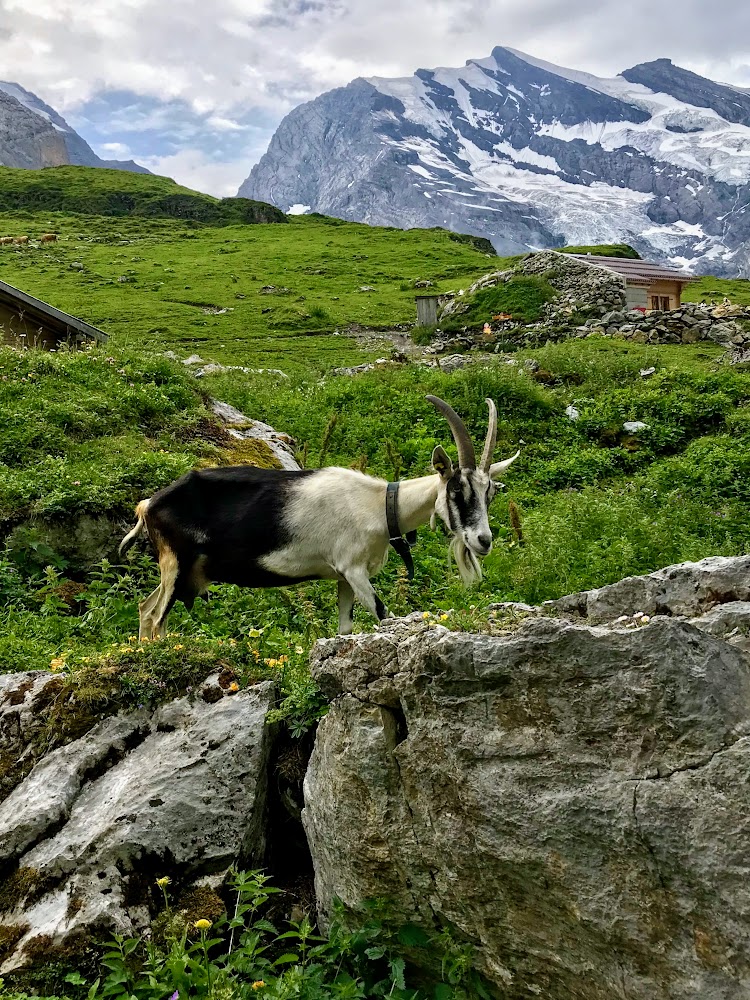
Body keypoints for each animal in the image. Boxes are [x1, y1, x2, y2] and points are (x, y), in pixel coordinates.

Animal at [120, 394, 520, 636]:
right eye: (457, 491)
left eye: (490, 493)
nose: (483, 541)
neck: (378, 505)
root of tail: (148, 505)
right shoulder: (354, 570)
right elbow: (382, 614)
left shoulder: (343, 577)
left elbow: (344, 629)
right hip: (176, 562)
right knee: (155, 618)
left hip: (177, 569)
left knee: (144, 608)